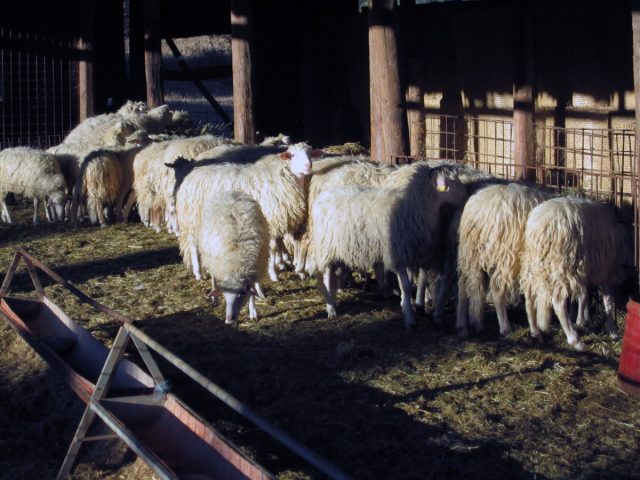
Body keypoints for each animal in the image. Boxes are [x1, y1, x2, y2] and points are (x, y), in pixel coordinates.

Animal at [190, 189, 270, 324]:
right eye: (225, 295)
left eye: (241, 295)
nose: (228, 320)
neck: (237, 267)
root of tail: (229, 192)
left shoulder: (254, 270)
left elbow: (251, 293)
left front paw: (253, 312)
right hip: (211, 257)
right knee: (213, 277)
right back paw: (214, 298)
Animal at [308, 163, 468, 328]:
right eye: (453, 182)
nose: (466, 195)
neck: (414, 207)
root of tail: (322, 197)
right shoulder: (397, 254)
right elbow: (406, 286)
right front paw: (409, 319)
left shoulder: (408, 254)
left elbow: (409, 284)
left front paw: (406, 306)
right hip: (326, 247)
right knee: (327, 277)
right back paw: (331, 308)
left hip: (337, 249)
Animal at [456, 183, 552, 338]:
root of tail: (479, 211)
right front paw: (537, 328)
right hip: (506, 255)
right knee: (497, 289)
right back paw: (505, 328)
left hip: (469, 254)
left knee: (462, 285)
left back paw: (462, 327)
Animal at [524, 197, 632, 350]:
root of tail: (539, 226)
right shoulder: (605, 269)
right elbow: (608, 300)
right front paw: (613, 330)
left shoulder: (586, 269)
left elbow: (583, 294)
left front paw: (581, 319)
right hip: (562, 264)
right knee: (558, 302)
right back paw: (574, 340)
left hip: (536, 264)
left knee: (529, 295)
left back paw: (536, 333)